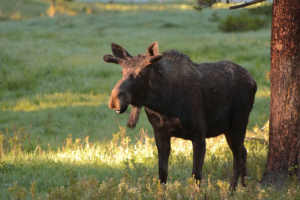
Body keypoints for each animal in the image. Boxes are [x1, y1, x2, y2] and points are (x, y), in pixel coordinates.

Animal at [103, 41, 258, 189]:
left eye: (142, 74)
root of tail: (254, 82)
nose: (114, 100)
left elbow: (196, 175)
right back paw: (246, 187)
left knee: (238, 158)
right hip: (228, 129)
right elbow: (162, 173)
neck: (162, 104)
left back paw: (232, 191)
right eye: (122, 71)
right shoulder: (160, 133)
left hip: (239, 122)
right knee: (244, 152)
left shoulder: (199, 134)